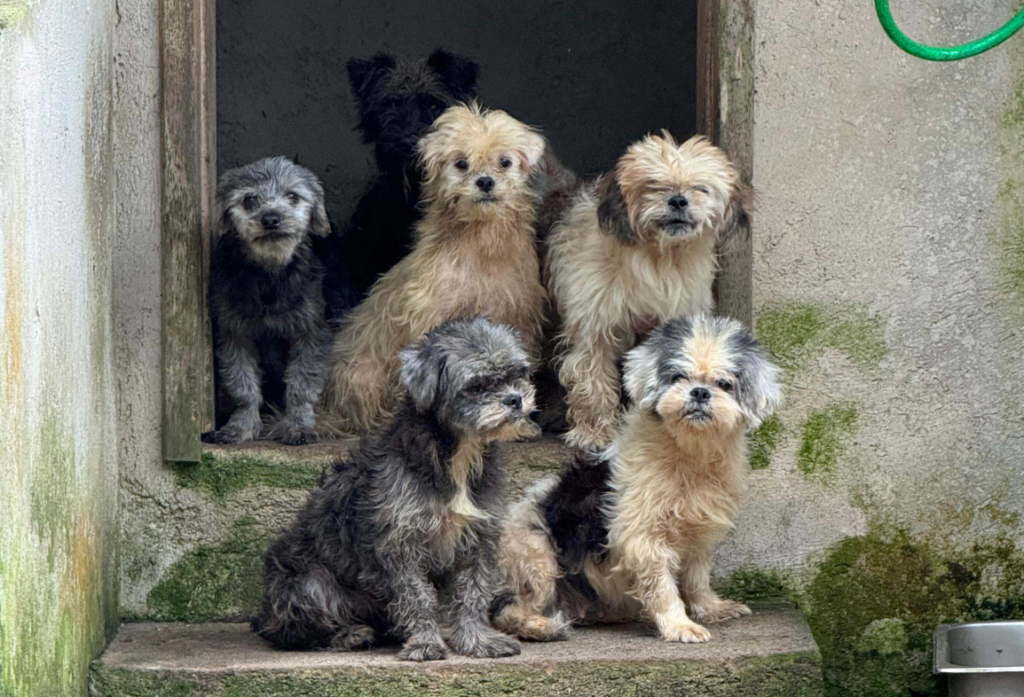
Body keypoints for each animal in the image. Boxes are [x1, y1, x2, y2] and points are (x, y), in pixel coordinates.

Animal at [199, 154, 327, 442]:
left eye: (292, 196)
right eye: (250, 200)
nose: (271, 219)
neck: (269, 274)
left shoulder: (309, 333)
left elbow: (301, 383)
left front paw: (300, 426)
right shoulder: (234, 334)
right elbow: (242, 384)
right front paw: (241, 427)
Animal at [250, 317, 536, 659]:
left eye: (517, 374)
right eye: (476, 386)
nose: (515, 399)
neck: (456, 458)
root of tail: (265, 615)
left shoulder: (479, 539)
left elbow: (472, 593)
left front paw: (477, 640)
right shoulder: (399, 544)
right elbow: (417, 597)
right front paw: (426, 643)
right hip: (309, 583)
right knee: (297, 632)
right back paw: (350, 635)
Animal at [325, 102, 552, 431]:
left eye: (505, 162)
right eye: (461, 163)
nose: (485, 181)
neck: (480, 246)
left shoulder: (517, 319)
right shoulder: (429, 316)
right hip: (363, 375)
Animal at [544, 132, 753, 450]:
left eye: (701, 188)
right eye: (654, 185)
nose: (678, 200)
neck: (657, 259)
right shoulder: (594, 328)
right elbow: (592, 382)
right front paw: (594, 433)